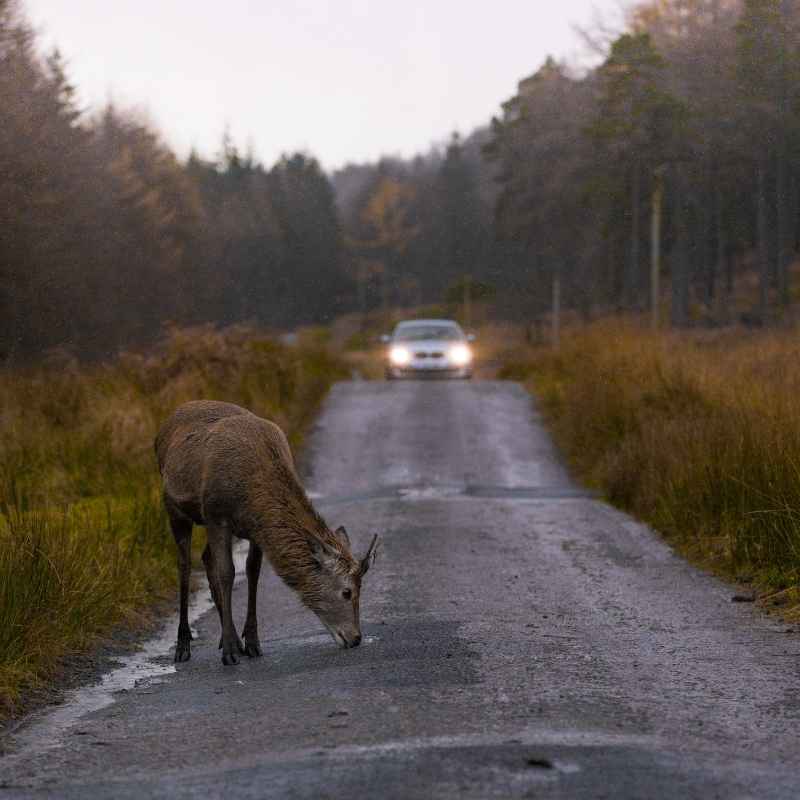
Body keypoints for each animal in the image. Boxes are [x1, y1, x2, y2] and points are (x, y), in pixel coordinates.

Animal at [155, 400, 379, 666]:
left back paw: (231, 639)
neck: (252, 492)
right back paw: (184, 645)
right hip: (174, 507)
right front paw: (230, 650)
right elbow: (227, 573)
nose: (355, 638)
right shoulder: (216, 515)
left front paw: (251, 642)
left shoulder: (255, 527)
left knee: (206, 557)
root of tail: (164, 426)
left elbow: (253, 572)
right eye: (347, 592)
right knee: (185, 565)